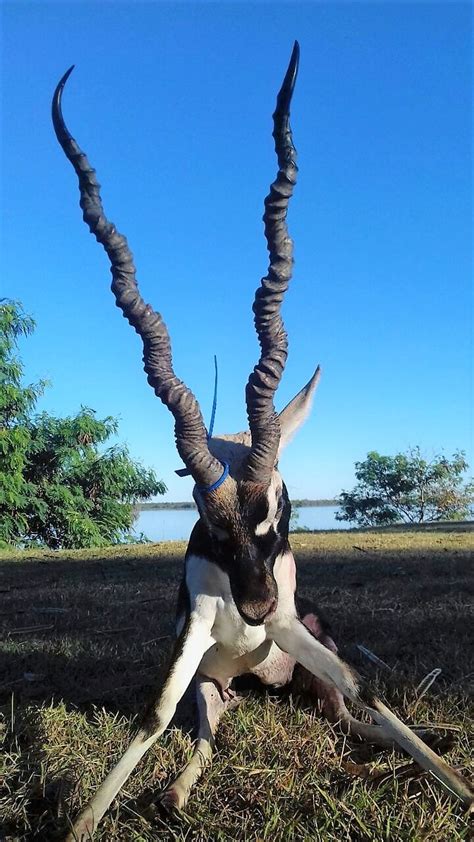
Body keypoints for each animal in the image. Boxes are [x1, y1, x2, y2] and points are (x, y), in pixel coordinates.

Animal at [53, 41, 472, 840]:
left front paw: (461, 786)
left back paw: (399, 756)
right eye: (205, 521)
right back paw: (175, 793)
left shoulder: (288, 615)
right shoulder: (196, 626)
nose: (250, 612)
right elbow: (153, 713)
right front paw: (83, 820)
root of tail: (259, 682)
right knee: (210, 731)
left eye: (280, 507)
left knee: (349, 716)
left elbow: (368, 689)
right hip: (219, 689)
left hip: (306, 657)